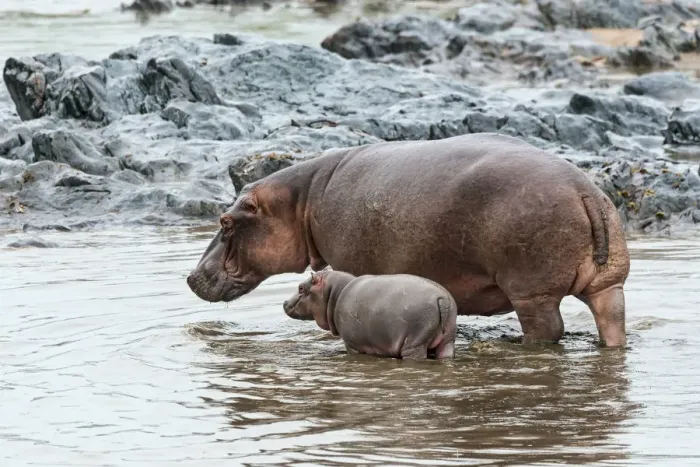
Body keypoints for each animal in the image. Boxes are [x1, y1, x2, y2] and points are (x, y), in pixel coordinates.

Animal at [187, 133, 630, 347]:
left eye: (226, 221)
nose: (190, 277)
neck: (301, 201)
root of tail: (584, 192)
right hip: (608, 284)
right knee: (611, 321)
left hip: (532, 292)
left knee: (547, 330)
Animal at [283, 270, 458, 359]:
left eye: (300, 288)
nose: (284, 303)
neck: (334, 292)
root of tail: (443, 298)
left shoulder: (352, 345)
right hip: (447, 339)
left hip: (415, 342)